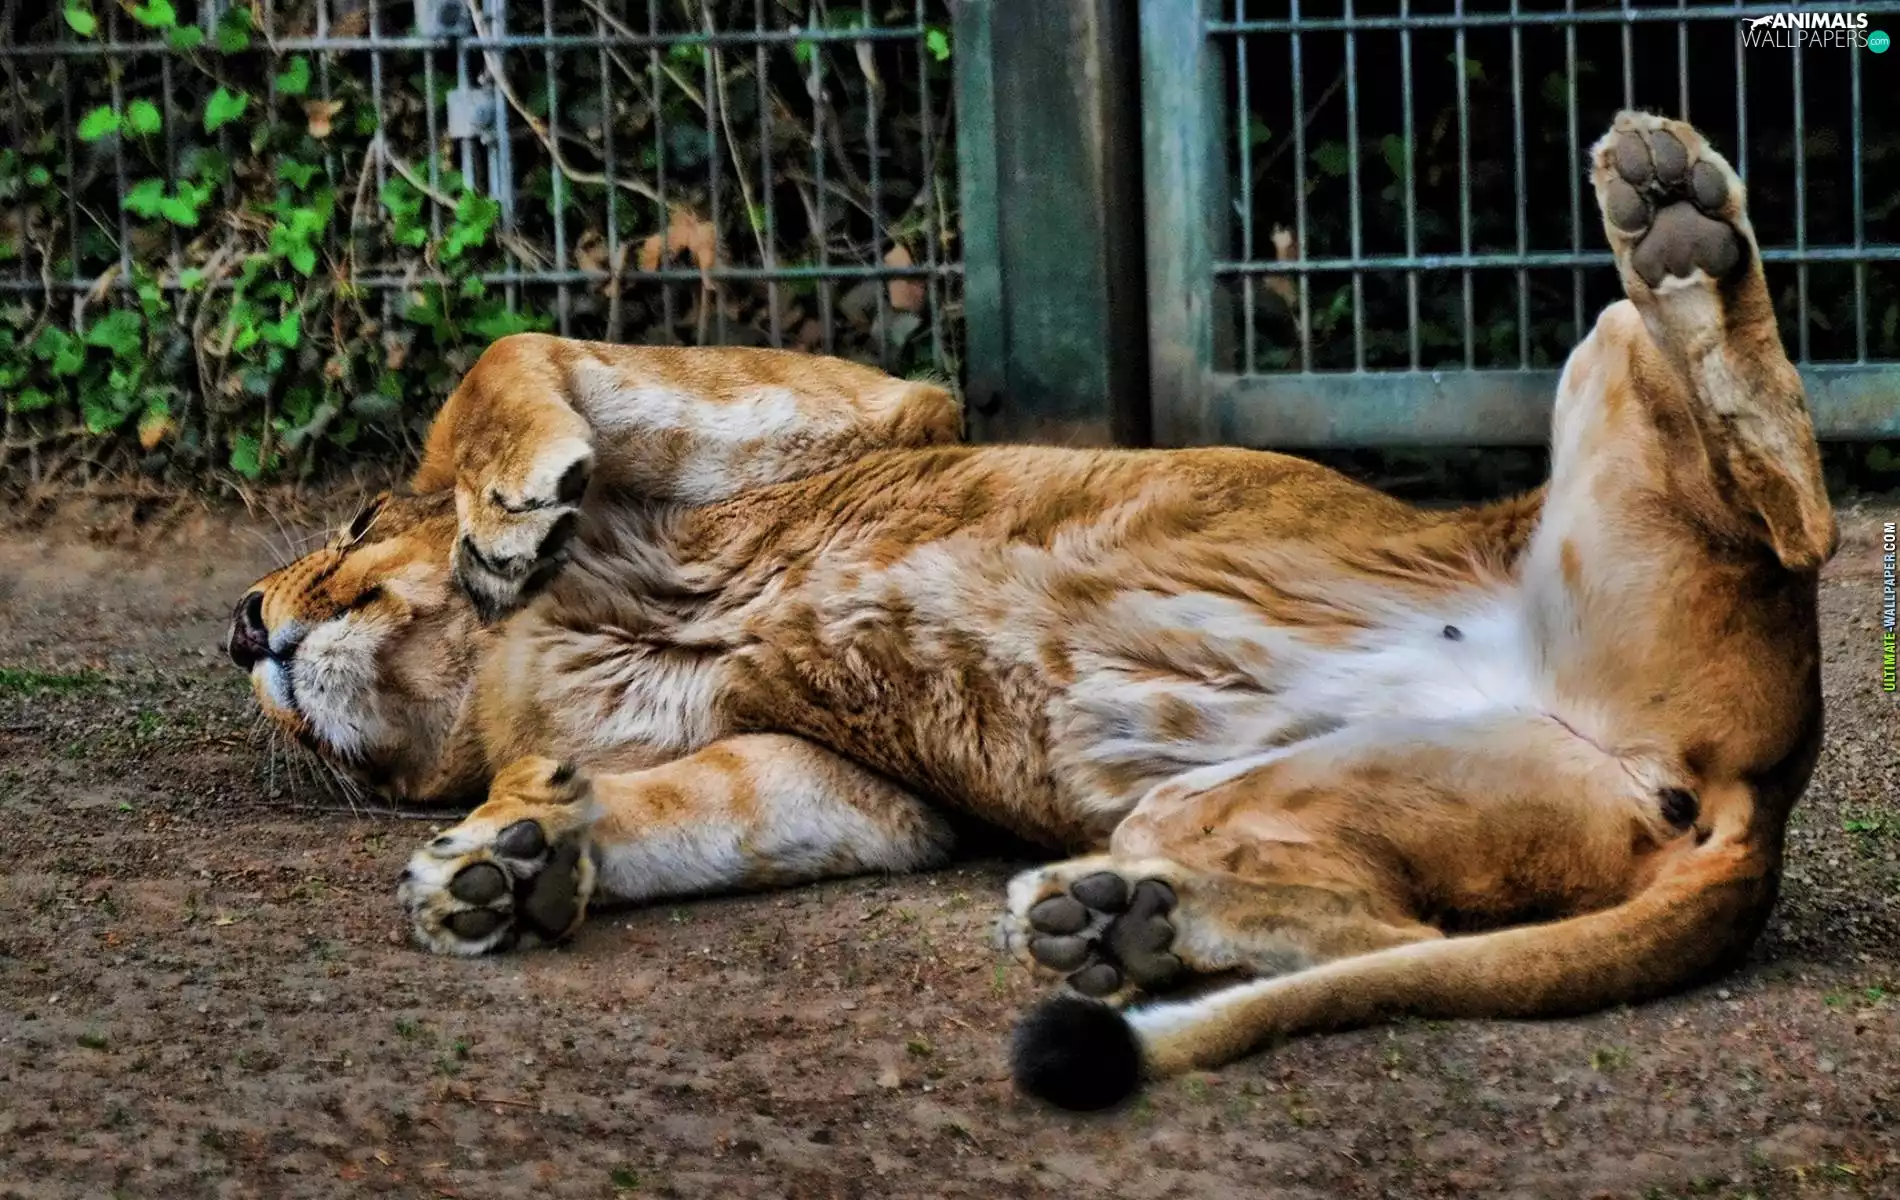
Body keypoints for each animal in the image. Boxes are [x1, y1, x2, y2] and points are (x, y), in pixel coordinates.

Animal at [229, 113, 1834, 1111]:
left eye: (352, 529)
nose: (241, 627)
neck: (495, 666)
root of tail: (1757, 801)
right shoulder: (854, 788)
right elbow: (671, 812)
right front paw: (508, 867)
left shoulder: (884, 405)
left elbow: (501, 357)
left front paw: (504, 517)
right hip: (1268, 796)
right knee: (1389, 925)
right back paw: (1123, 928)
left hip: (1623, 380)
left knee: (1793, 509)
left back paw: (1677, 220)